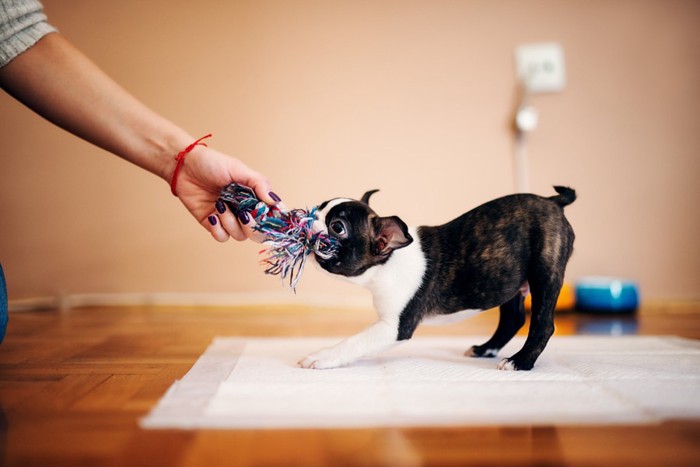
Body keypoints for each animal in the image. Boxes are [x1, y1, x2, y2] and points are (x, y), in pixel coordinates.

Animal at [298, 186, 576, 372]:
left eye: (337, 227)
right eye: (320, 207)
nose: (308, 217)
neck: (387, 263)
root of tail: (552, 201)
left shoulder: (393, 327)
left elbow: (355, 342)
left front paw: (321, 356)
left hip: (544, 272)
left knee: (543, 324)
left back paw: (520, 361)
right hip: (509, 281)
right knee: (513, 318)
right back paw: (485, 349)